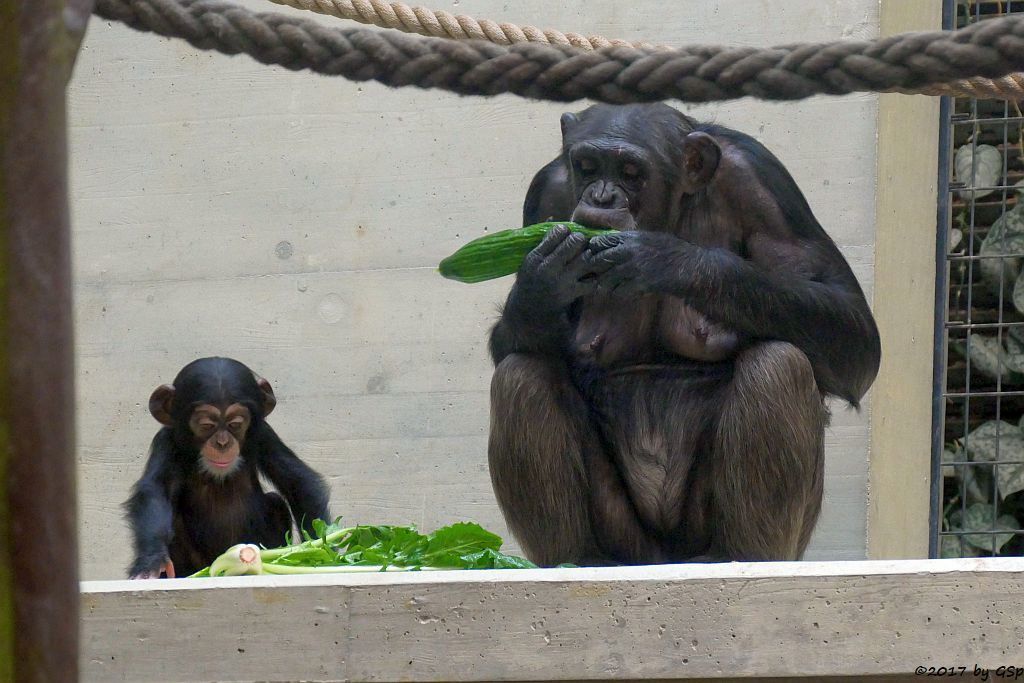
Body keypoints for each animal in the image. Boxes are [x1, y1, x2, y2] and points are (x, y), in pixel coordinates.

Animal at [124, 358, 329, 577]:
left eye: (235, 424)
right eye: (206, 425)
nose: (222, 442)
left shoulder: (264, 435)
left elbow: (296, 481)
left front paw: (323, 549)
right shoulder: (165, 442)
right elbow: (155, 490)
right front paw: (152, 561)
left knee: (276, 502)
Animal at [487, 102, 880, 565]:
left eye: (630, 171)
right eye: (586, 167)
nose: (601, 196)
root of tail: (664, 559)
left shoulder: (762, 183)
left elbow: (853, 333)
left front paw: (666, 259)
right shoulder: (545, 195)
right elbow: (514, 346)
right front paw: (541, 284)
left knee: (778, 363)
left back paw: (742, 556)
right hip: (628, 541)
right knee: (520, 375)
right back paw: (577, 560)